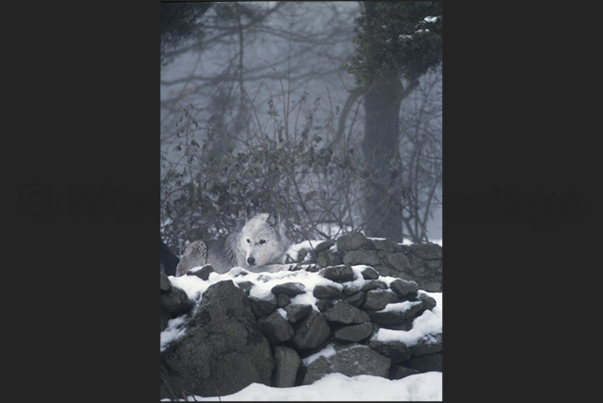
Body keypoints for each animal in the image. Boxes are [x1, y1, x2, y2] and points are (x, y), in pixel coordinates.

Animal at [175, 210, 312, 276]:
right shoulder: (247, 268)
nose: (250, 260)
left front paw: (305, 266)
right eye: (248, 240)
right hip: (198, 245)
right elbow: (274, 267)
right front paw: (290, 266)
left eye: (262, 241)